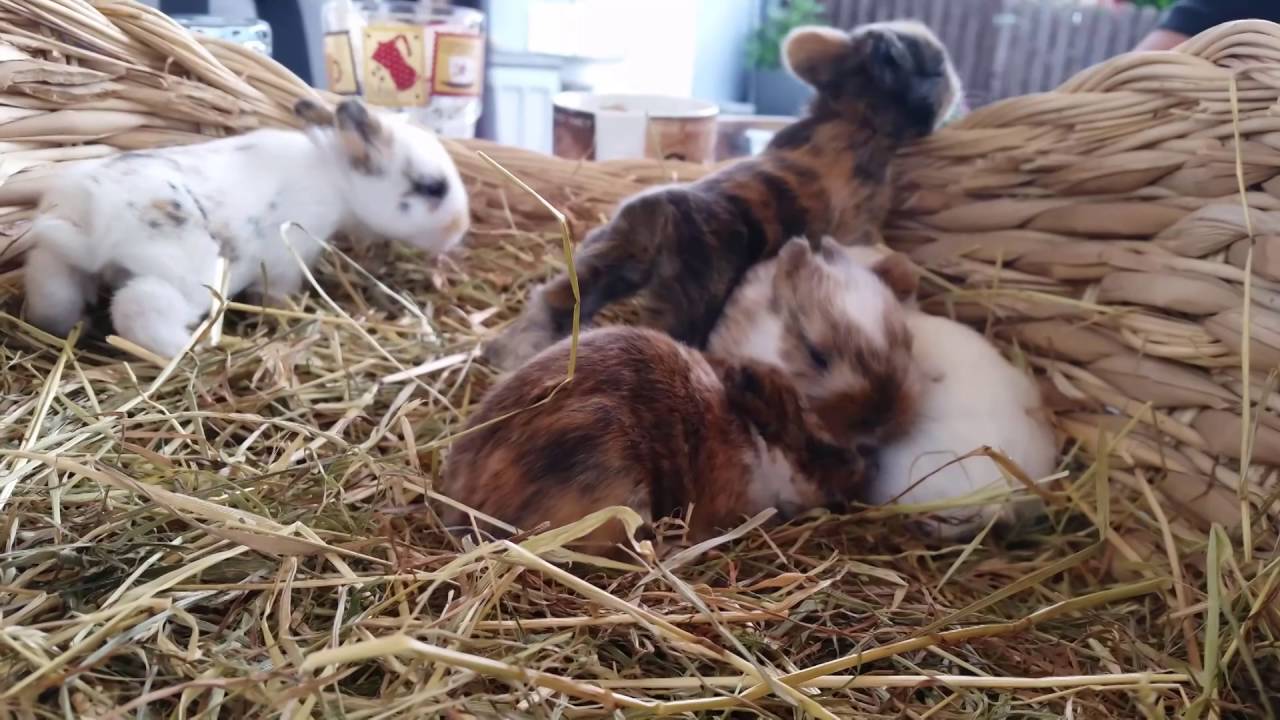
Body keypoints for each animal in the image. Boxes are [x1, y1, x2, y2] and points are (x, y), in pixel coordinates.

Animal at [21, 98, 470, 358]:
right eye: (433, 187)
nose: (460, 230)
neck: (335, 176)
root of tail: (96, 231)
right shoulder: (290, 258)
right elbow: (280, 291)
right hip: (184, 279)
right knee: (140, 310)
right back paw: (185, 350)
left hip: (55, 261)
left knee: (52, 292)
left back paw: (69, 327)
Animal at [483, 19, 963, 372]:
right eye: (938, 66)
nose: (952, 82)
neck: (850, 114)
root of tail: (659, 218)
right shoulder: (859, 226)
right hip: (688, 306)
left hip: (599, 261)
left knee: (553, 304)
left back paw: (507, 354)